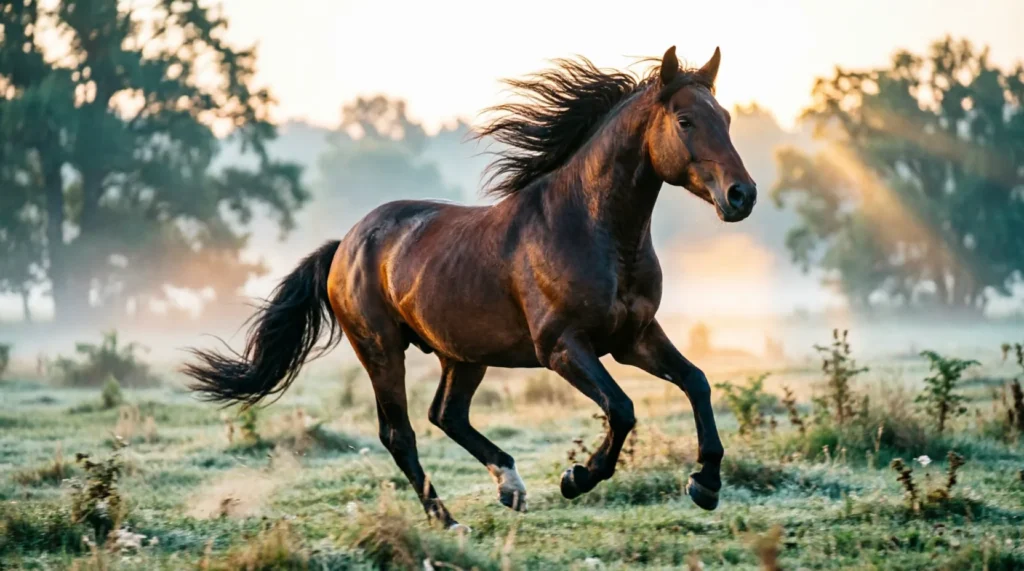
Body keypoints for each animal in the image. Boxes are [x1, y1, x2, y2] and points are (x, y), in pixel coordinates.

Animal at [184, 45, 757, 529]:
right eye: (685, 121)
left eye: (727, 119)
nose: (742, 195)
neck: (593, 229)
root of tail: (344, 245)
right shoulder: (563, 347)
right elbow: (621, 408)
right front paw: (577, 477)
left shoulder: (633, 338)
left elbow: (696, 381)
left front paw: (705, 484)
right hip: (382, 350)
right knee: (400, 433)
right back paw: (448, 519)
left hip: (462, 354)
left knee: (447, 414)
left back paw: (510, 485)